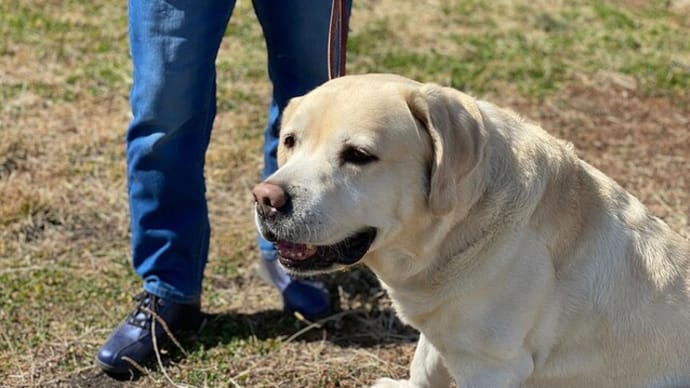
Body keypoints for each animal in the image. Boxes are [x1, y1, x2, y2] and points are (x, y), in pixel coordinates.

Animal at [251, 74, 688, 386]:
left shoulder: (492, 366)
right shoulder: (440, 334)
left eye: (358, 155)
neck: (456, 230)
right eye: (289, 141)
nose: (265, 198)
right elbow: (424, 369)